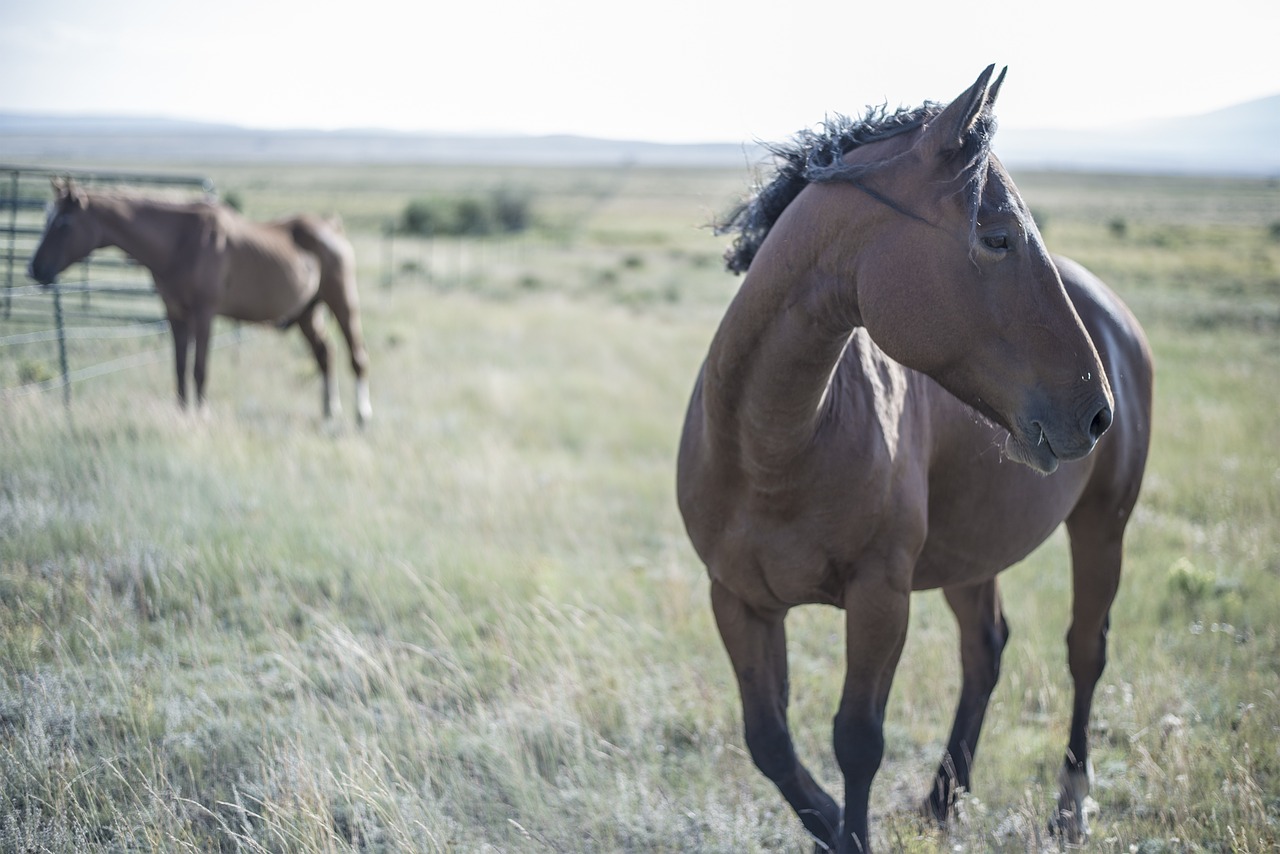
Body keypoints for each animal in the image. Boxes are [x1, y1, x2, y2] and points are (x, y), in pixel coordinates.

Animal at [27, 179, 373, 422]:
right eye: (48, 219)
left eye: (64, 223)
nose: (34, 268)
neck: (181, 241)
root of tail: (331, 226)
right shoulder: (176, 314)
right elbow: (180, 369)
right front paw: (182, 415)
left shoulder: (204, 314)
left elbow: (199, 369)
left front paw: (202, 416)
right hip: (306, 312)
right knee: (325, 354)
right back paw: (330, 413)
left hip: (342, 302)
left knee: (356, 357)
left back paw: (362, 416)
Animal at [675, 63, 1157, 850]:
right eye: (997, 237)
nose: (1097, 413)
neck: (772, 453)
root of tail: (1118, 318)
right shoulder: (738, 599)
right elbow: (770, 741)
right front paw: (834, 826)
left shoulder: (880, 598)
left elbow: (856, 740)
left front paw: (851, 833)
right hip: (972, 552)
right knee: (985, 650)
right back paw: (942, 799)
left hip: (1102, 526)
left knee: (1086, 650)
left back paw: (1069, 807)